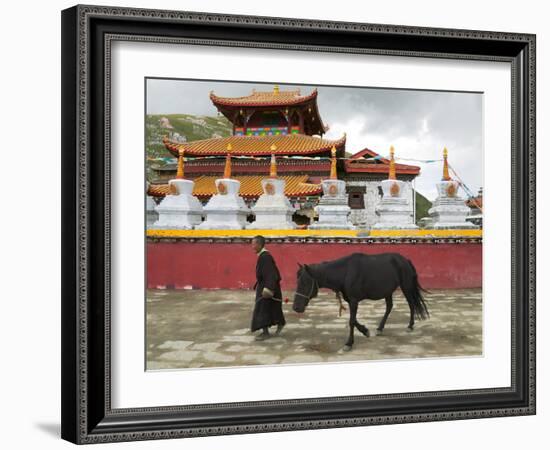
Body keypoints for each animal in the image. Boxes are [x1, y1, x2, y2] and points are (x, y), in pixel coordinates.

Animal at [294, 253, 432, 352]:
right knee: (389, 307)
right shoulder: (350, 301)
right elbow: (353, 320)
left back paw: (410, 326)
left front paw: (349, 343)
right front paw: (365, 331)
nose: (296, 307)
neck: (345, 272)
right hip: (388, 291)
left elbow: (351, 321)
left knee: (411, 304)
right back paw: (380, 328)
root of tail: (405, 260)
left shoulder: (354, 301)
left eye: (305, 282)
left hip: (406, 286)